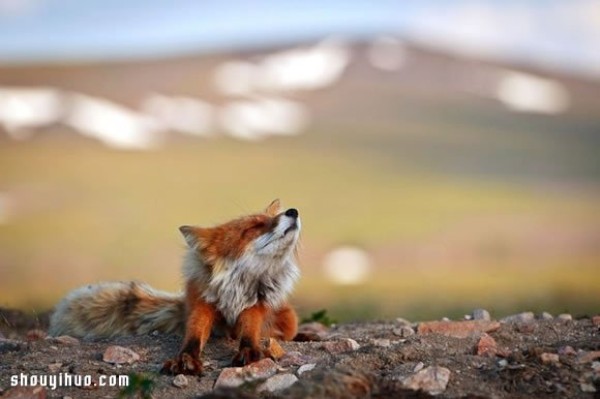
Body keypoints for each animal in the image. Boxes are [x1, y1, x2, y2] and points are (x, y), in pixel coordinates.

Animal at [48, 202, 300, 376]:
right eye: (255, 226)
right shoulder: (202, 303)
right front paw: (185, 360)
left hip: (288, 319)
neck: (236, 286)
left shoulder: (254, 306)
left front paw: (249, 351)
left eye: (270, 218)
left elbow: (249, 332)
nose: (293, 211)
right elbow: (193, 336)